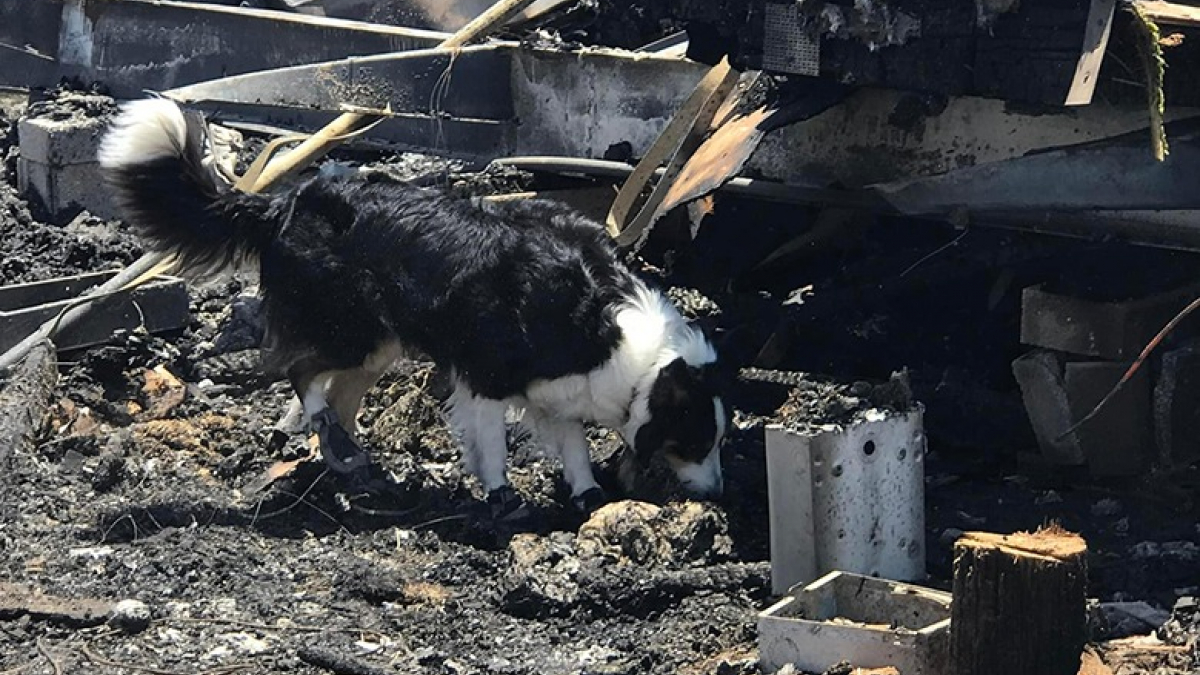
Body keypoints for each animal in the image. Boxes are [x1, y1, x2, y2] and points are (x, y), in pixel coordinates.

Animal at [98, 97, 724, 511]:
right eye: (696, 440)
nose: (719, 492)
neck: (605, 325)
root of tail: (283, 204)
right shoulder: (484, 377)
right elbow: (492, 444)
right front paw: (502, 498)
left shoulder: (561, 390)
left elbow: (572, 445)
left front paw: (587, 494)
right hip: (348, 330)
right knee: (299, 371)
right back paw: (337, 444)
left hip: (376, 345)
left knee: (339, 397)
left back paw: (353, 463)